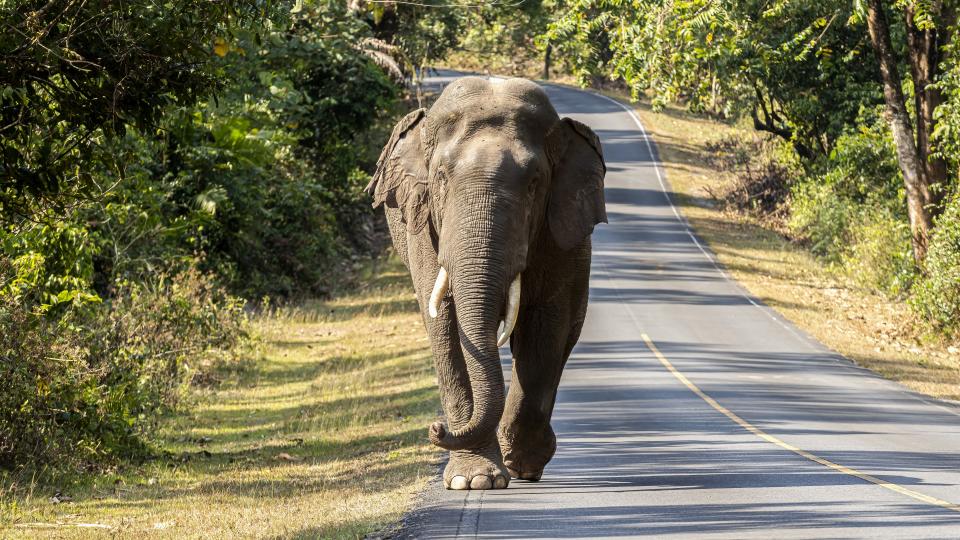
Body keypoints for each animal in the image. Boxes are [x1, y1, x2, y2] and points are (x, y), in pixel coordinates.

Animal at [368, 76, 608, 490]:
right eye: (441, 178)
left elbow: (546, 324)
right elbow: (445, 324)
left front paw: (519, 466)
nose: (436, 428)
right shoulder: (425, 227)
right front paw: (474, 480)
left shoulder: (559, 231)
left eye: (534, 184)